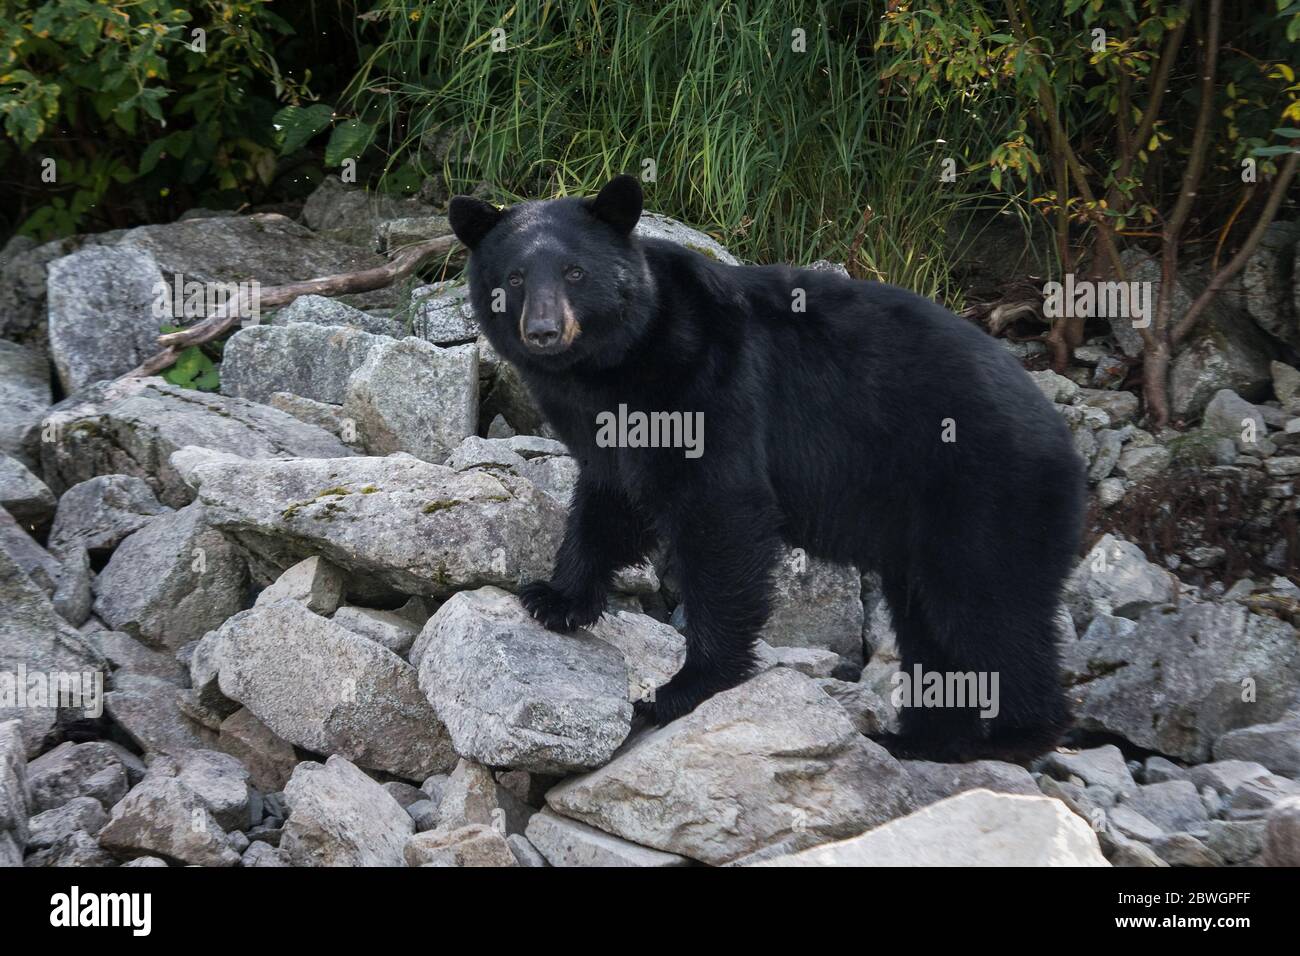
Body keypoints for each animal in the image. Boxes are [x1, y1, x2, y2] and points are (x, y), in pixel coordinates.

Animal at [452, 175, 1081, 764]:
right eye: (514, 278)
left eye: (576, 272)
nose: (544, 331)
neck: (616, 366)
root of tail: (1063, 436)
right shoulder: (606, 428)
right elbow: (608, 502)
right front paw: (556, 598)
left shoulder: (709, 380)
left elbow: (722, 516)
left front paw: (685, 686)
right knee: (930, 622)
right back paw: (924, 739)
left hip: (986, 492)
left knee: (989, 607)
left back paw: (1015, 736)